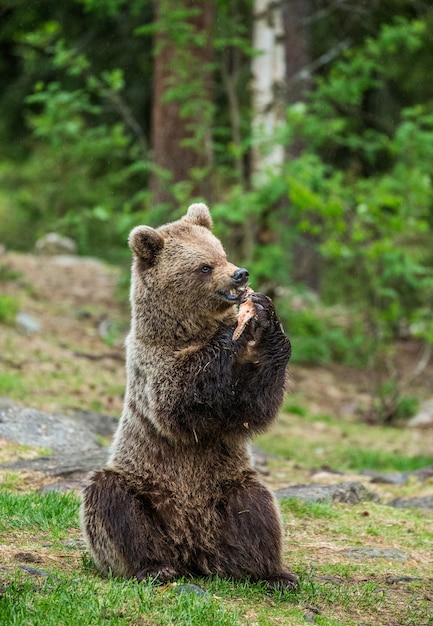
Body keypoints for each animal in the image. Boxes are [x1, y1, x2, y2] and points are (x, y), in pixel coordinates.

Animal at [80, 205, 296, 588]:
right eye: (204, 266)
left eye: (222, 253)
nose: (240, 274)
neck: (186, 331)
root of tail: (192, 547)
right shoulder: (152, 364)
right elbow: (180, 400)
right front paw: (234, 331)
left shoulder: (240, 396)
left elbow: (255, 405)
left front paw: (265, 316)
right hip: (148, 488)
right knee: (113, 503)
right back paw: (153, 567)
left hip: (226, 485)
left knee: (255, 509)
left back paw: (271, 573)